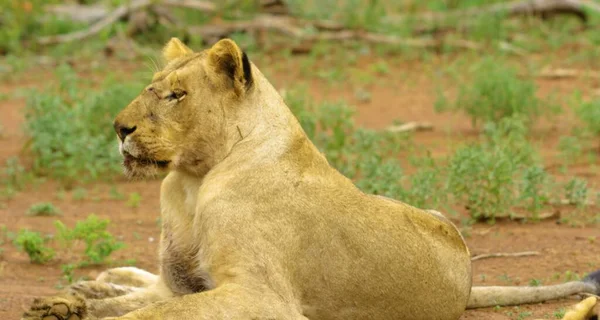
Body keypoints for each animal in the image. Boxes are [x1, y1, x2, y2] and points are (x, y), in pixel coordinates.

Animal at [21, 37, 596, 320]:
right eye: (152, 86)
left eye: (177, 95)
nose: (119, 128)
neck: (190, 181)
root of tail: (470, 279)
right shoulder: (186, 282)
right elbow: (141, 302)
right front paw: (64, 303)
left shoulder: (262, 298)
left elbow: (150, 316)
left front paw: (77, 303)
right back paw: (94, 280)